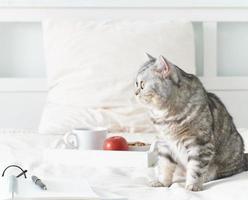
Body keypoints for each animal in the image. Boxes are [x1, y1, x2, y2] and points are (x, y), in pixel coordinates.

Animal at [136, 54, 248, 191]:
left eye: (142, 85)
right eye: (136, 84)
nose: (135, 93)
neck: (166, 116)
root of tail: (243, 158)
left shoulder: (199, 143)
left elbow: (196, 168)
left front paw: (193, 185)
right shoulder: (165, 143)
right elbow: (165, 166)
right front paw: (162, 182)